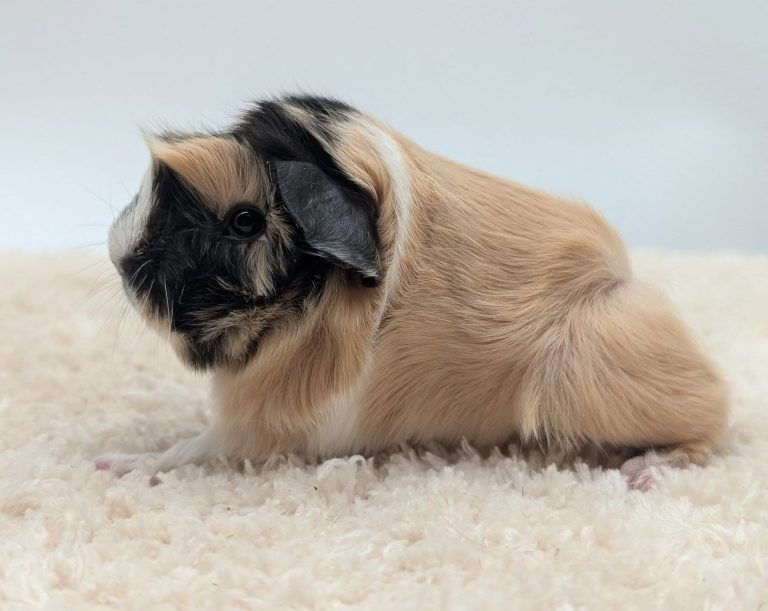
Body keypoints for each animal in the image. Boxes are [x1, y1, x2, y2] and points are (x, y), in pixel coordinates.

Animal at [95, 95, 728, 490]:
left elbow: (187, 451)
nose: (118, 253)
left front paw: (113, 464)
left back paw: (643, 474)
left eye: (245, 221)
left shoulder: (253, 428)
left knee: (707, 435)